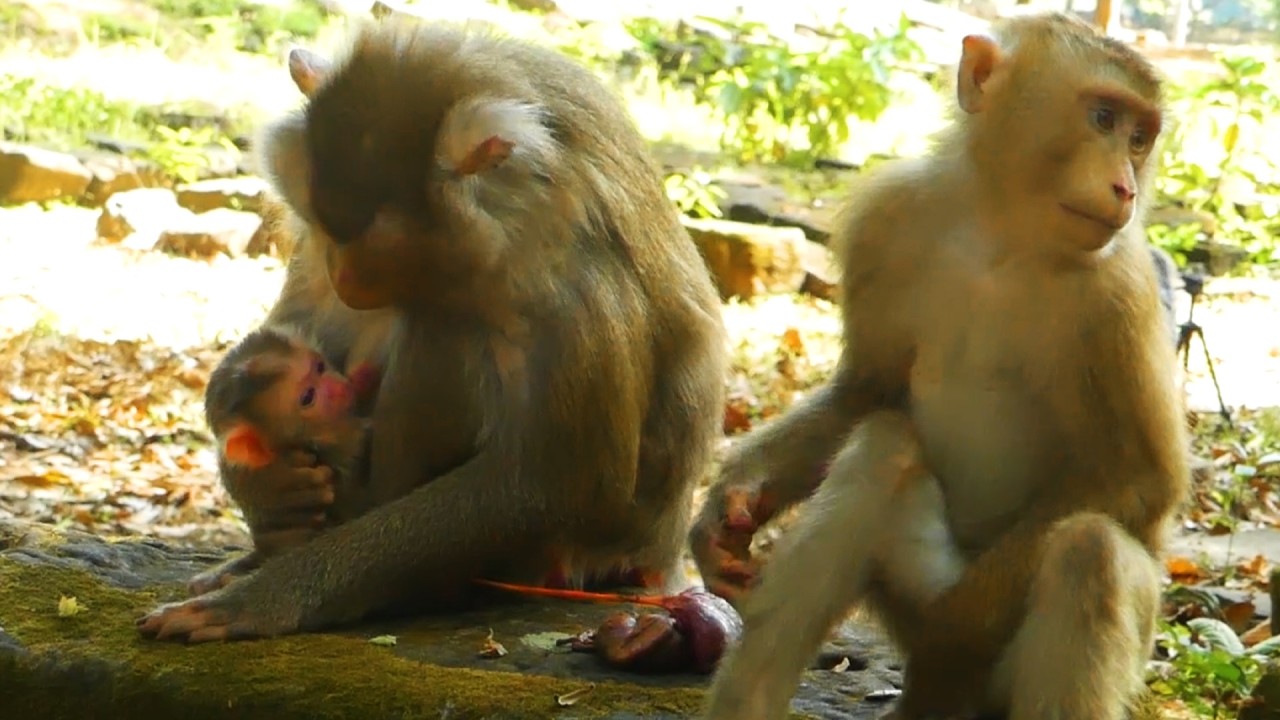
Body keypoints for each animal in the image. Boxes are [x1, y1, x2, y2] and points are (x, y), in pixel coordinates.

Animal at [693, 13, 1189, 720]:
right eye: (1102, 118)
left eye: (1140, 138)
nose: (1124, 185)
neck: (1002, 235)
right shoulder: (885, 219)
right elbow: (867, 391)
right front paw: (734, 500)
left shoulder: (1123, 290)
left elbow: (1139, 478)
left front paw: (951, 638)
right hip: (907, 598)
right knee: (884, 448)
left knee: (1089, 555)